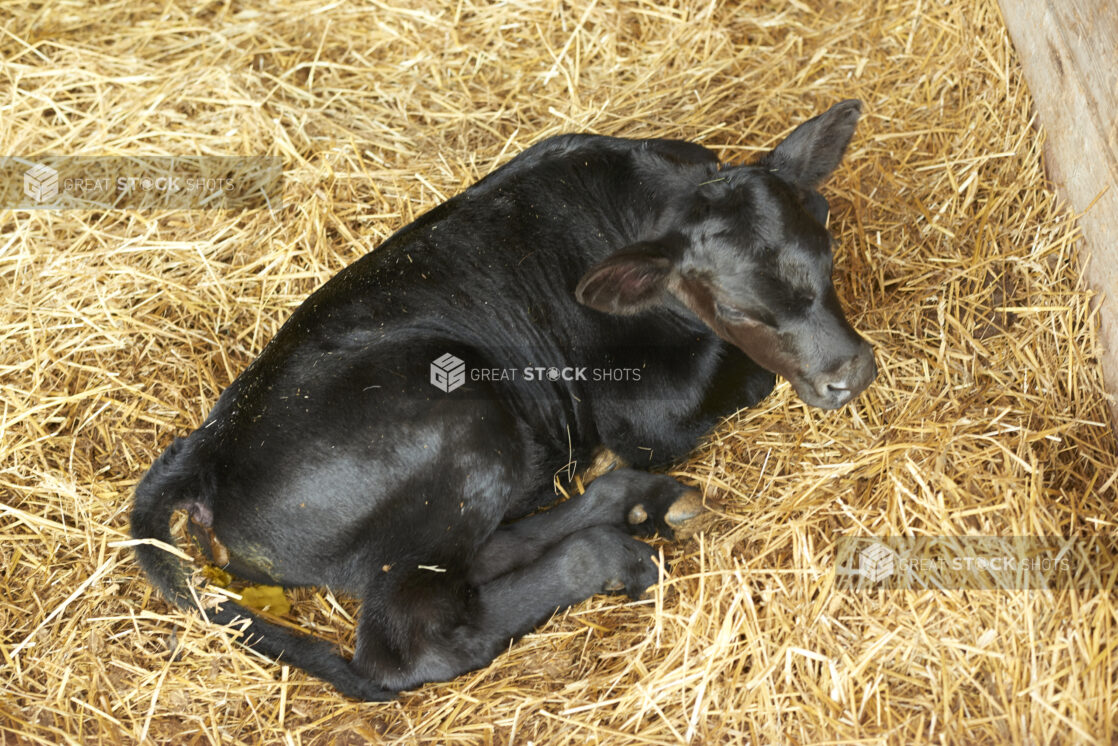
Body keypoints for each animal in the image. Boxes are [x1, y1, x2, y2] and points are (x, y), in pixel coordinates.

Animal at [130, 97, 876, 702]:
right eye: (735, 308)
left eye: (829, 248)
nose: (854, 371)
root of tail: (206, 447)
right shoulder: (644, 413)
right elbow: (747, 380)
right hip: (463, 419)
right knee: (411, 643)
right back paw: (610, 557)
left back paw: (635, 505)